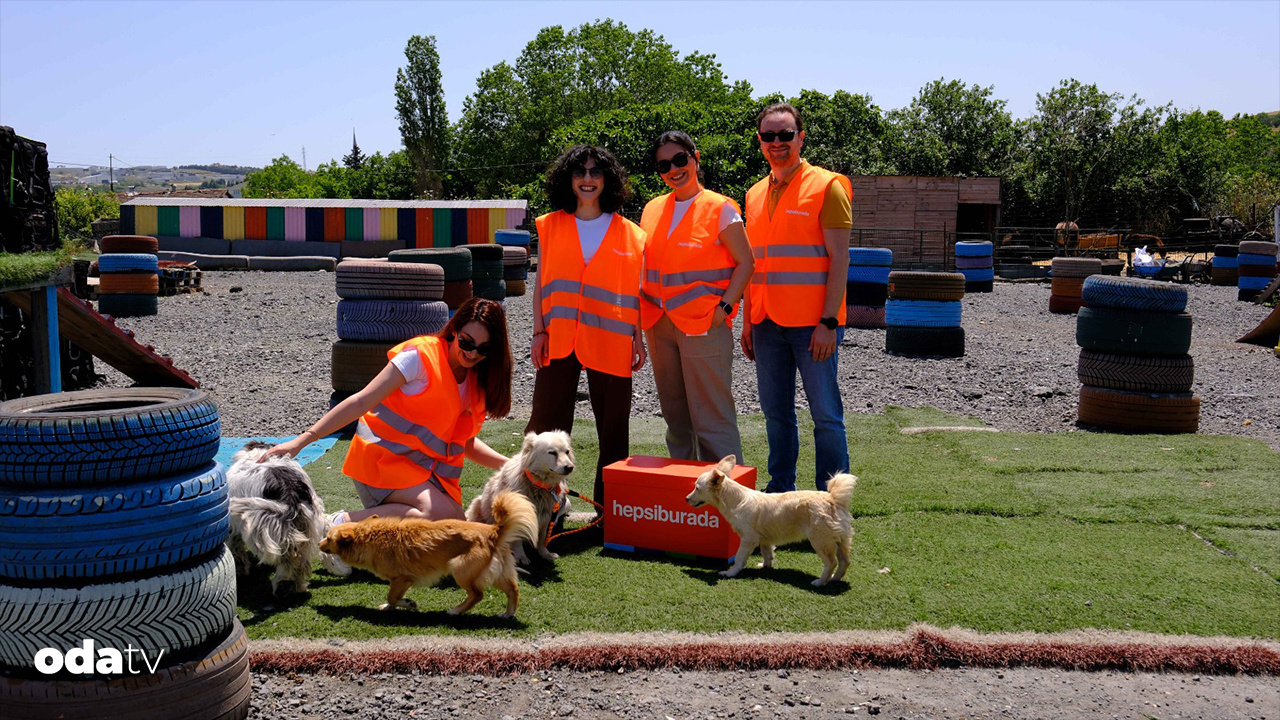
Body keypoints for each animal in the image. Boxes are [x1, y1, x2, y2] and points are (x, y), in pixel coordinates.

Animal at [322, 489, 542, 614]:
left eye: (328, 538)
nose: (318, 544)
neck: (370, 538)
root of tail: (493, 531)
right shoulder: (399, 581)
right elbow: (392, 598)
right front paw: (391, 607)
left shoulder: (402, 578)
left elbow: (392, 596)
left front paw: (407, 603)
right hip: (496, 573)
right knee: (513, 590)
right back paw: (508, 614)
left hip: (460, 570)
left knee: (477, 595)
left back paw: (456, 611)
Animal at [465, 427, 576, 563]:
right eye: (552, 452)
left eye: (567, 451)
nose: (570, 467)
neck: (538, 485)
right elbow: (517, 541)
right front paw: (521, 557)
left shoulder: (546, 516)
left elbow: (542, 538)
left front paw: (545, 554)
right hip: (478, 505)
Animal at [686, 453, 855, 584]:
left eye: (697, 488)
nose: (687, 499)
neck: (736, 500)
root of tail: (833, 499)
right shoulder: (765, 539)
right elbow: (767, 553)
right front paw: (766, 566)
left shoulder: (748, 539)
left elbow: (739, 558)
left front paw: (730, 573)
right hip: (841, 540)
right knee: (845, 562)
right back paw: (834, 579)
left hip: (820, 540)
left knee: (831, 562)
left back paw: (820, 582)